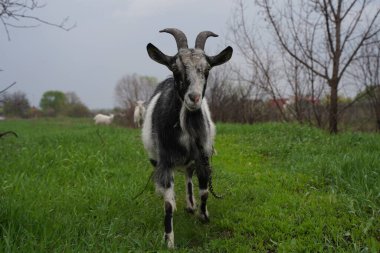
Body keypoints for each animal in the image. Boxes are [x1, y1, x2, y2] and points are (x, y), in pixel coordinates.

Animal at [142, 27, 232, 247]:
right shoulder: (165, 161)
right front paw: (169, 241)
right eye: (176, 69)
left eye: (207, 70)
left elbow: (205, 190)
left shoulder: (203, 156)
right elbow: (167, 204)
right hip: (156, 159)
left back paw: (191, 205)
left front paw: (203, 215)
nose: (194, 98)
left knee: (189, 176)